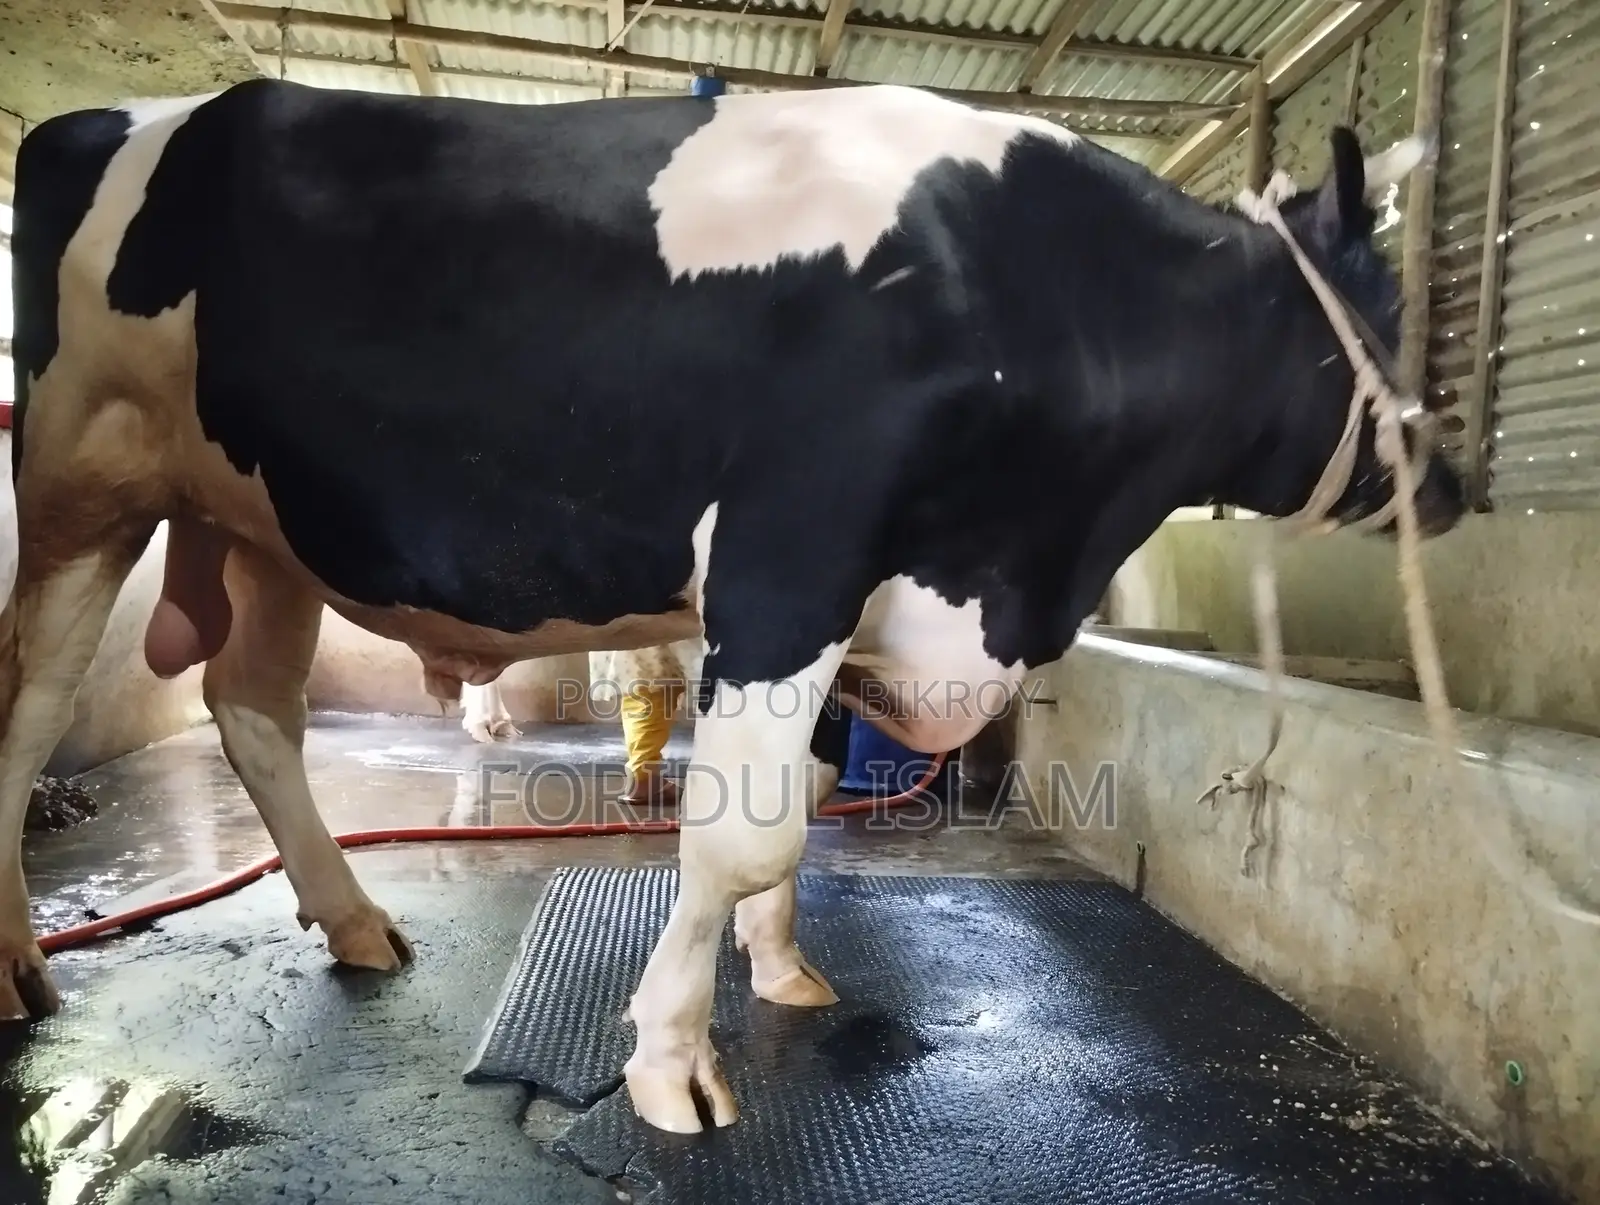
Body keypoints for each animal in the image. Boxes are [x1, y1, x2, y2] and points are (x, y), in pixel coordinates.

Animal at [3, 78, 1464, 1135]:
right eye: (1383, 308)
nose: (1448, 483)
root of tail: (111, 120)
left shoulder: (855, 600)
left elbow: (799, 803)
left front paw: (783, 971)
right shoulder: (788, 557)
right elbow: (740, 835)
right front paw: (671, 1064)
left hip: (267, 529)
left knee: (252, 708)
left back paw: (357, 923)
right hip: (84, 477)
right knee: (30, 704)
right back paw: (23, 963)